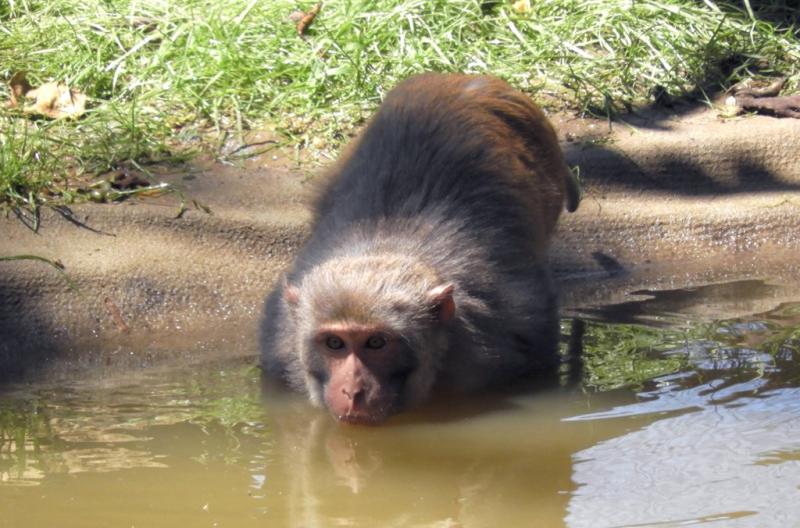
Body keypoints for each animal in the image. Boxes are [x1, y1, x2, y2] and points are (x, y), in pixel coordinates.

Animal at [260, 73, 580, 425]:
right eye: (334, 343)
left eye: (376, 342)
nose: (352, 392)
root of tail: (463, 79)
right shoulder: (281, 346)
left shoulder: (511, 327)